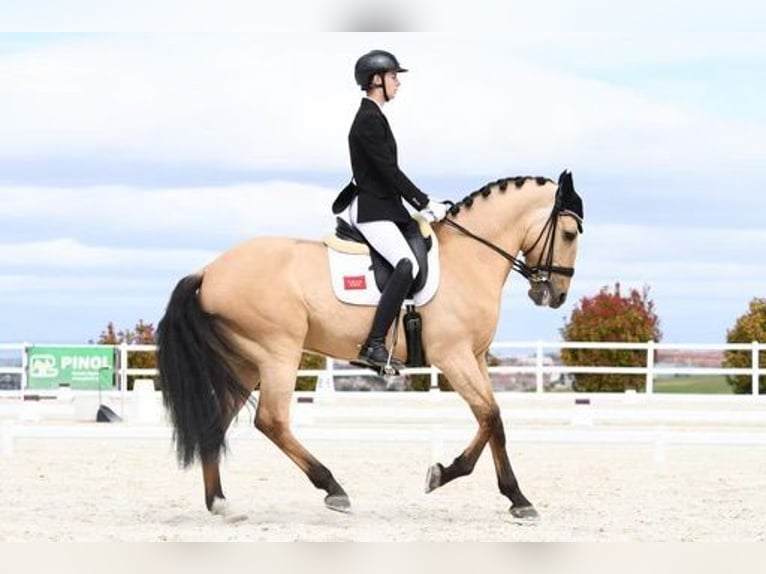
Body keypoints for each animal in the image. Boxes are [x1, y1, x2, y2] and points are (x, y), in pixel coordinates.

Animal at [158, 170, 588, 520]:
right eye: (569, 235)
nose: (555, 295)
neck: (468, 258)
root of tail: (208, 271)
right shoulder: (454, 357)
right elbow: (490, 416)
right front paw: (451, 477)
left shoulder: (476, 357)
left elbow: (493, 421)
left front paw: (511, 496)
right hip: (277, 352)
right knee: (272, 420)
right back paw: (333, 488)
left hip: (244, 363)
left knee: (216, 423)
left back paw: (221, 504)